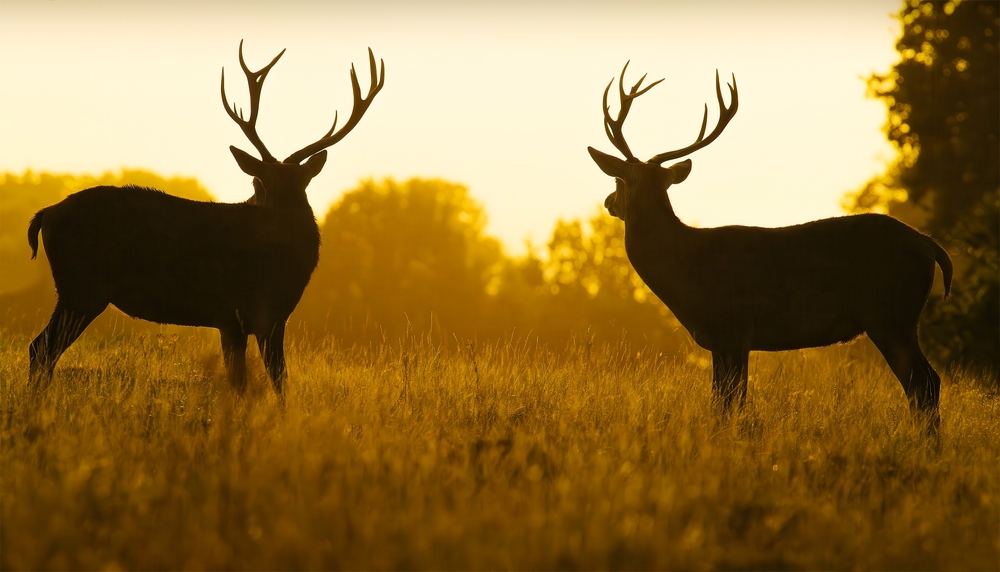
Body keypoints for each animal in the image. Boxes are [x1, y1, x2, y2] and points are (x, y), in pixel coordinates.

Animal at [27, 42, 384, 400]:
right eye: (259, 183)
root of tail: (46, 214)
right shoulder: (264, 311)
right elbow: (277, 378)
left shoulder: (232, 321)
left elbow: (242, 380)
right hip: (82, 288)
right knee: (41, 348)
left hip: (76, 290)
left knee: (41, 348)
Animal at [587, 63, 952, 429]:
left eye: (617, 180)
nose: (608, 202)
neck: (686, 270)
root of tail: (928, 245)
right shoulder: (721, 341)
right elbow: (722, 400)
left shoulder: (734, 328)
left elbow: (730, 402)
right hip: (901, 319)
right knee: (929, 381)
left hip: (890, 315)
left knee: (922, 383)